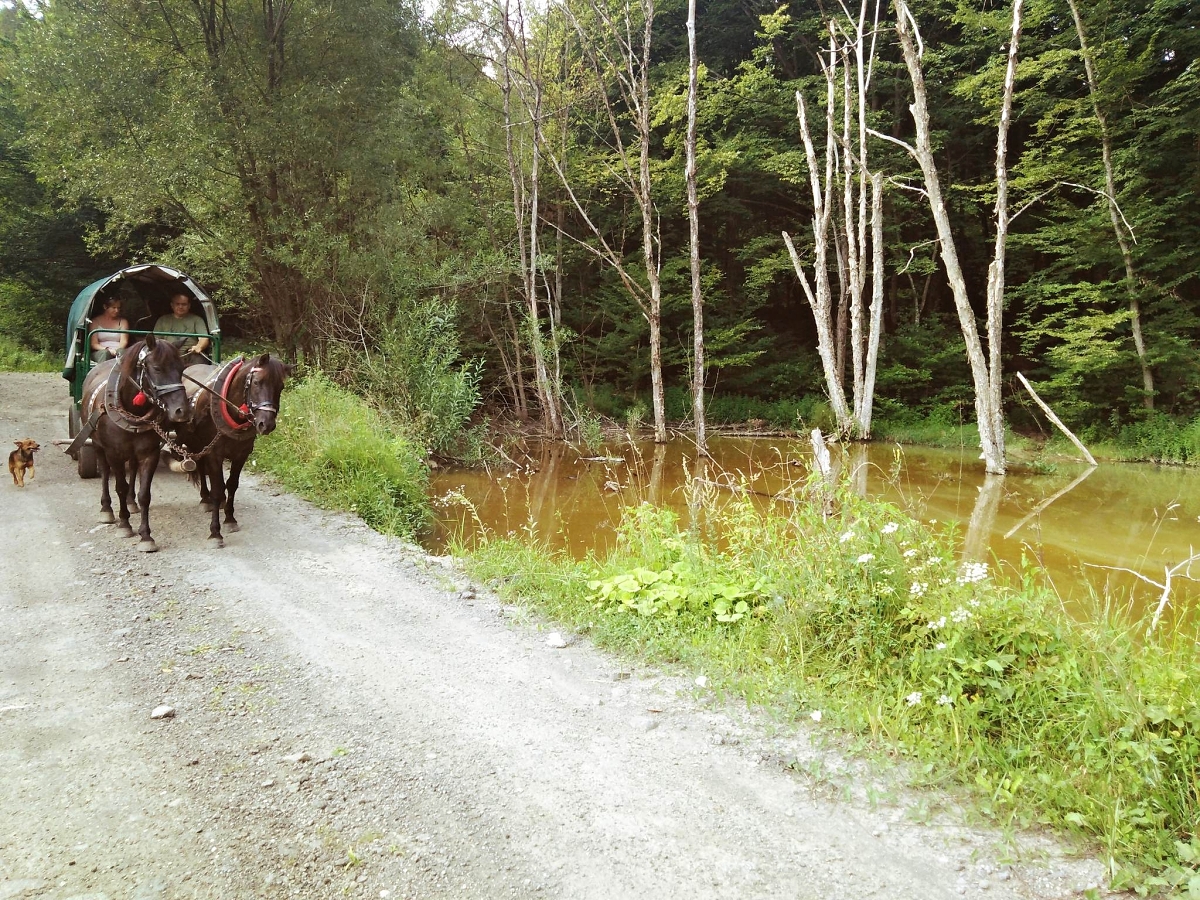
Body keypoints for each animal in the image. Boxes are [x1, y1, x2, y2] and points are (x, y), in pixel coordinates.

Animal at [78, 336, 188, 554]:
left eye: (181, 369)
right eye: (157, 368)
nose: (182, 410)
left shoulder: (149, 454)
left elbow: (144, 494)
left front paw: (146, 536)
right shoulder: (113, 453)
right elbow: (119, 486)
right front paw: (124, 525)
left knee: (133, 469)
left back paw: (130, 502)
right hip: (97, 445)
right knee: (105, 473)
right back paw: (107, 509)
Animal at [177, 355, 290, 547]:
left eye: (280, 386)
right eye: (257, 382)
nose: (266, 424)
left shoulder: (241, 454)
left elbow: (232, 485)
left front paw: (230, 519)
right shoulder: (214, 454)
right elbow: (217, 489)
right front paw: (215, 532)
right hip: (196, 444)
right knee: (200, 467)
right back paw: (205, 498)